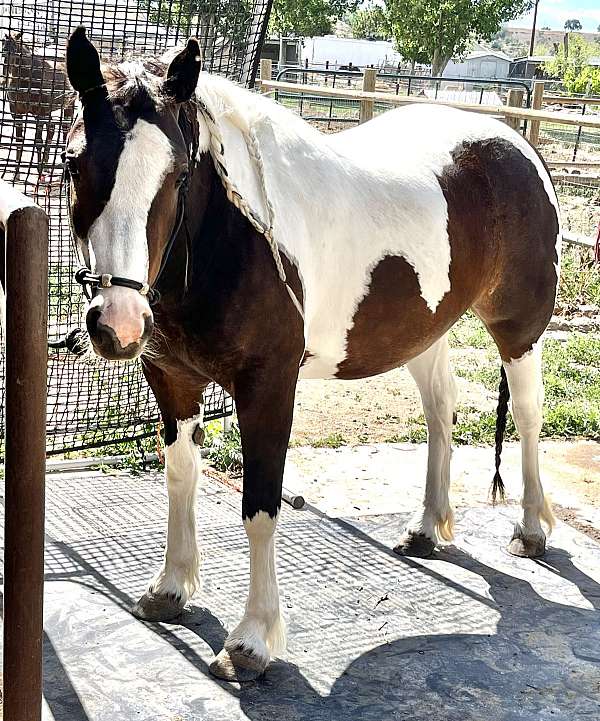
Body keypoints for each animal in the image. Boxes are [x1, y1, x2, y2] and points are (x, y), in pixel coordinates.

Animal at [0, 32, 73, 180]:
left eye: (15, 51)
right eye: (3, 51)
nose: (5, 79)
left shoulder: (39, 113)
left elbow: (38, 140)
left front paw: (39, 172)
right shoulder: (16, 114)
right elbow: (19, 141)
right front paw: (16, 173)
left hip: (66, 106)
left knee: (64, 129)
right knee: (52, 129)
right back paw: (47, 164)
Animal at [63, 28, 560, 680]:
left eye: (176, 173)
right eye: (75, 162)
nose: (117, 324)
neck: (234, 237)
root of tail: (516, 143)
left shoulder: (268, 389)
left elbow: (259, 506)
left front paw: (251, 640)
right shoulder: (170, 377)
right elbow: (179, 478)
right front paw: (172, 588)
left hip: (518, 330)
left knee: (527, 416)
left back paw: (530, 529)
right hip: (423, 331)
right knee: (440, 409)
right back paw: (427, 527)